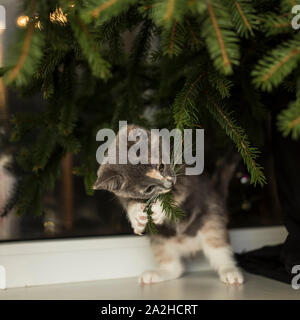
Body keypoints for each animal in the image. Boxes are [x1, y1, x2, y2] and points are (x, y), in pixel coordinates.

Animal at [94, 125, 244, 284]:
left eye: (161, 166)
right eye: (149, 189)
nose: (169, 183)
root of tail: (189, 246)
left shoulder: (186, 175)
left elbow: (178, 192)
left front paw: (158, 209)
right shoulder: (122, 195)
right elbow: (129, 202)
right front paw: (137, 218)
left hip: (211, 220)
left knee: (218, 247)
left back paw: (230, 271)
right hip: (159, 240)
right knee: (175, 267)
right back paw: (157, 274)